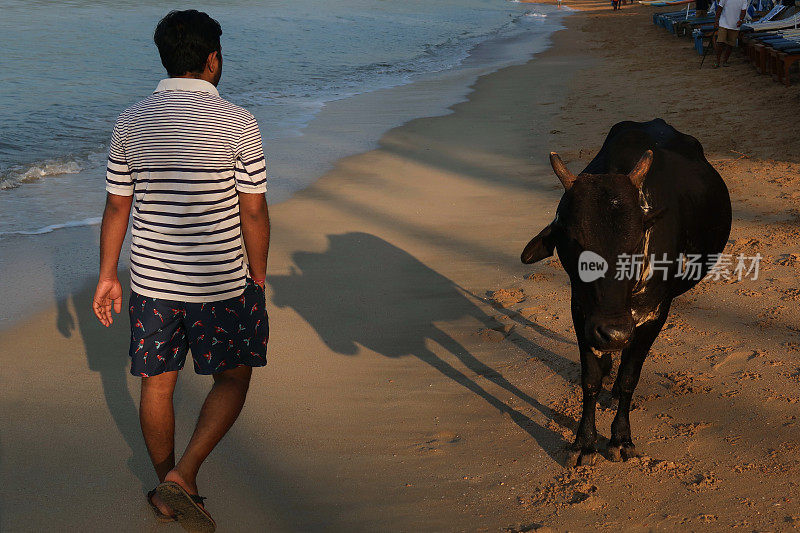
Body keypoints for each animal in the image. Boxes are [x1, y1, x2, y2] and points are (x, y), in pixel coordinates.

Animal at [520, 118, 732, 464]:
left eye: (638, 241)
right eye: (575, 241)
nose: (614, 332)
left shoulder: (655, 313)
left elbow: (631, 377)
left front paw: (620, 438)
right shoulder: (581, 310)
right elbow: (590, 380)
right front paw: (584, 442)